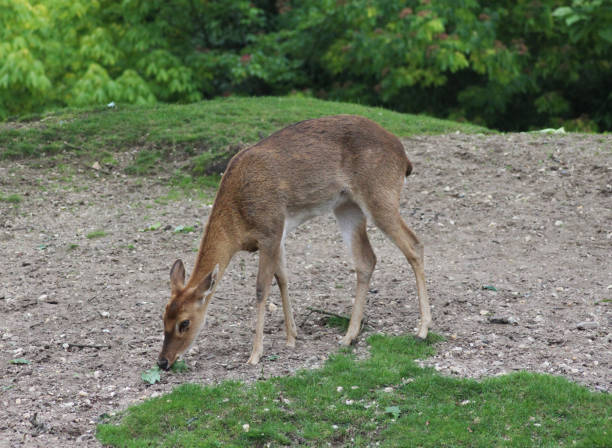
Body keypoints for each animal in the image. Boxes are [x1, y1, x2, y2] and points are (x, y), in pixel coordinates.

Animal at [158, 114, 430, 370]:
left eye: (185, 322)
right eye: (163, 317)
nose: (163, 362)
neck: (238, 225)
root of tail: (405, 159)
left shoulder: (270, 230)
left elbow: (261, 288)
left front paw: (255, 354)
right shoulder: (278, 236)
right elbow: (283, 279)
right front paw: (292, 337)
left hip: (380, 195)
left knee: (414, 244)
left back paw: (422, 330)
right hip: (347, 206)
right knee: (366, 259)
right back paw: (349, 336)